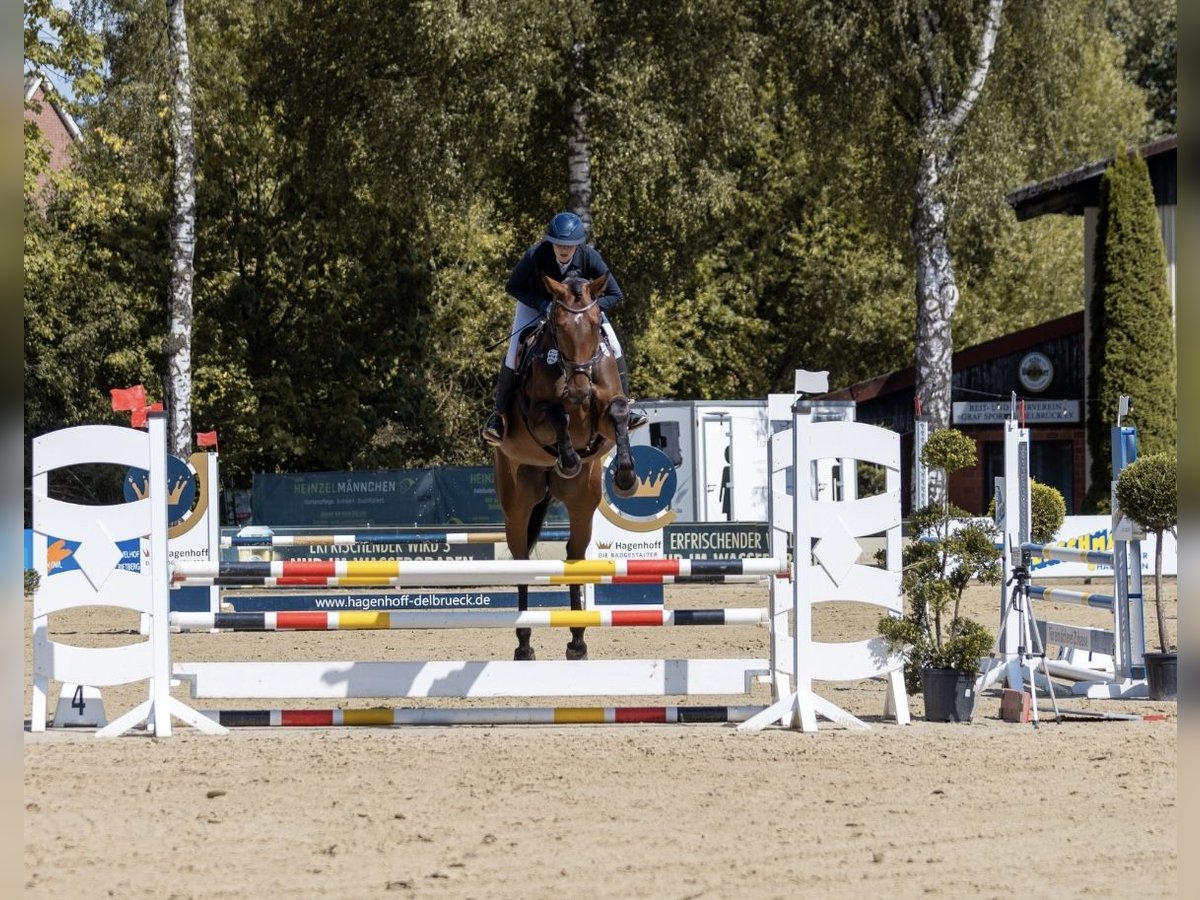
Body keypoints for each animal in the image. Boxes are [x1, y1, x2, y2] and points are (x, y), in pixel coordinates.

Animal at [489, 271, 638, 657]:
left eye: (595, 323)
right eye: (558, 326)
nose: (579, 390)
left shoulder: (605, 417)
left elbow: (618, 413)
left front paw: (626, 477)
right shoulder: (537, 417)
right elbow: (557, 415)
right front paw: (568, 459)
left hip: (582, 501)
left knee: (574, 555)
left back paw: (578, 640)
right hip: (517, 501)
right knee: (521, 559)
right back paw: (524, 644)